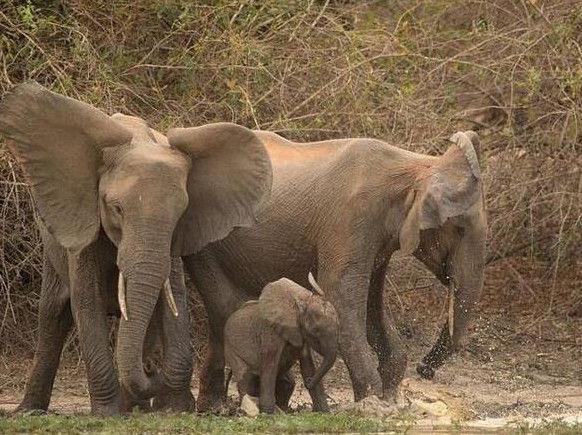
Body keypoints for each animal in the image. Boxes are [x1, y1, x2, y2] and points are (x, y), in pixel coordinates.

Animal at [0, 82, 274, 416]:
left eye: (180, 213)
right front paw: (108, 413)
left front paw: (175, 407)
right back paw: (30, 411)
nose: (152, 369)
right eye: (116, 208)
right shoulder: (84, 221)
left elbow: (173, 297)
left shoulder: (172, 240)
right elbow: (86, 300)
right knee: (54, 313)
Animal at [225, 276, 342, 416]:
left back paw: (282, 410)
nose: (308, 382)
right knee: (246, 378)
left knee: (288, 383)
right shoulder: (270, 331)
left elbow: (308, 365)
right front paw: (268, 414)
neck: (302, 302)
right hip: (231, 348)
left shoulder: (301, 333)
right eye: (316, 331)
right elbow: (270, 364)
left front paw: (324, 413)